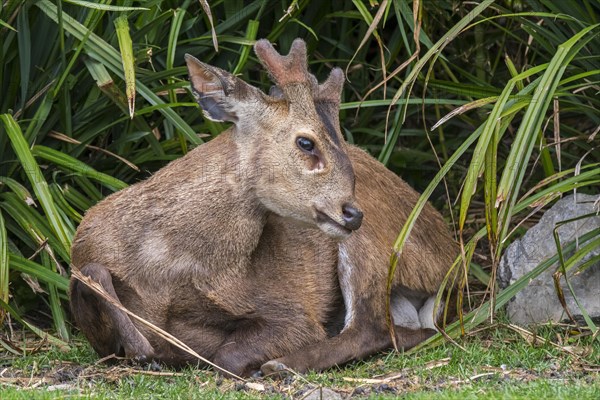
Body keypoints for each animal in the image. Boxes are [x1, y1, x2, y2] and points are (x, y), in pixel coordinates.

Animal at [69, 38, 454, 378]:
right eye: (306, 142)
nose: (352, 212)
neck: (167, 270)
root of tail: (453, 256)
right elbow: (88, 276)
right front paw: (142, 349)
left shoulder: (291, 309)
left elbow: (227, 357)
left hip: (373, 249)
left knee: (373, 329)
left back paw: (281, 365)